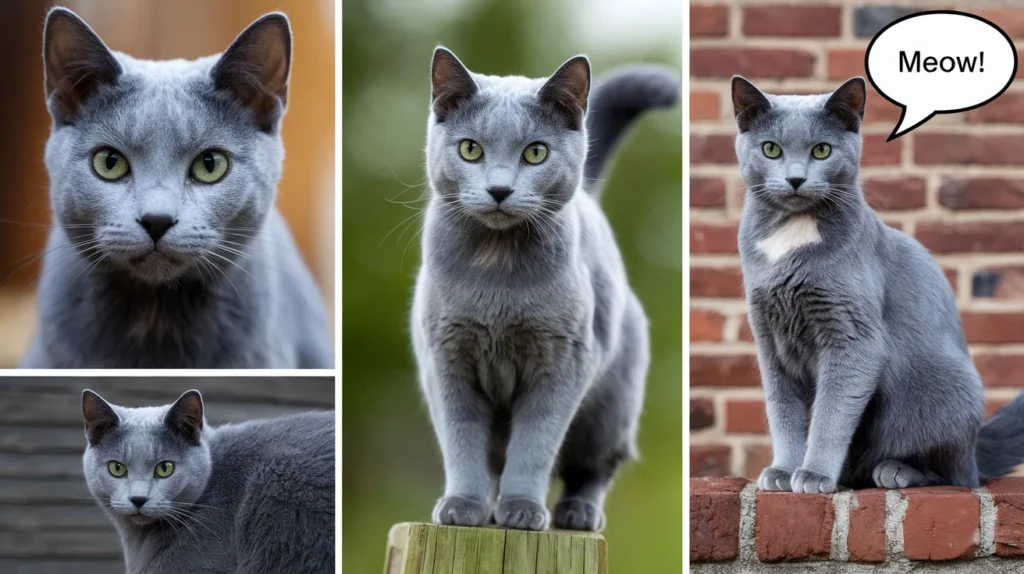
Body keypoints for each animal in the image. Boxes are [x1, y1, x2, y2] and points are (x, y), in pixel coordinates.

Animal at [407, 47, 679, 532]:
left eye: (535, 153)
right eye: (470, 149)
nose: (499, 189)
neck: (496, 268)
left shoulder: (564, 361)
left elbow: (534, 445)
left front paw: (522, 509)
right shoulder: (446, 361)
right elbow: (461, 443)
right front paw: (462, 506)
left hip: (609, 411)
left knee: (594, 468)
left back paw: (577, 513)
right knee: (493, 460)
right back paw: (488, 510)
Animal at [733, 76, 1024, 495]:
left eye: (822, 150)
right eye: (771, 149)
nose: (795, 178)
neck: (793, 234)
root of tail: (975, 450)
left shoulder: (853, 337)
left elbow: (832, 413)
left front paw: (814, 475)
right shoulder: (770, 338)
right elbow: (783, 411)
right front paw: (784, 471)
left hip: (944, 392)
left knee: (955, 476)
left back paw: (895, 470)